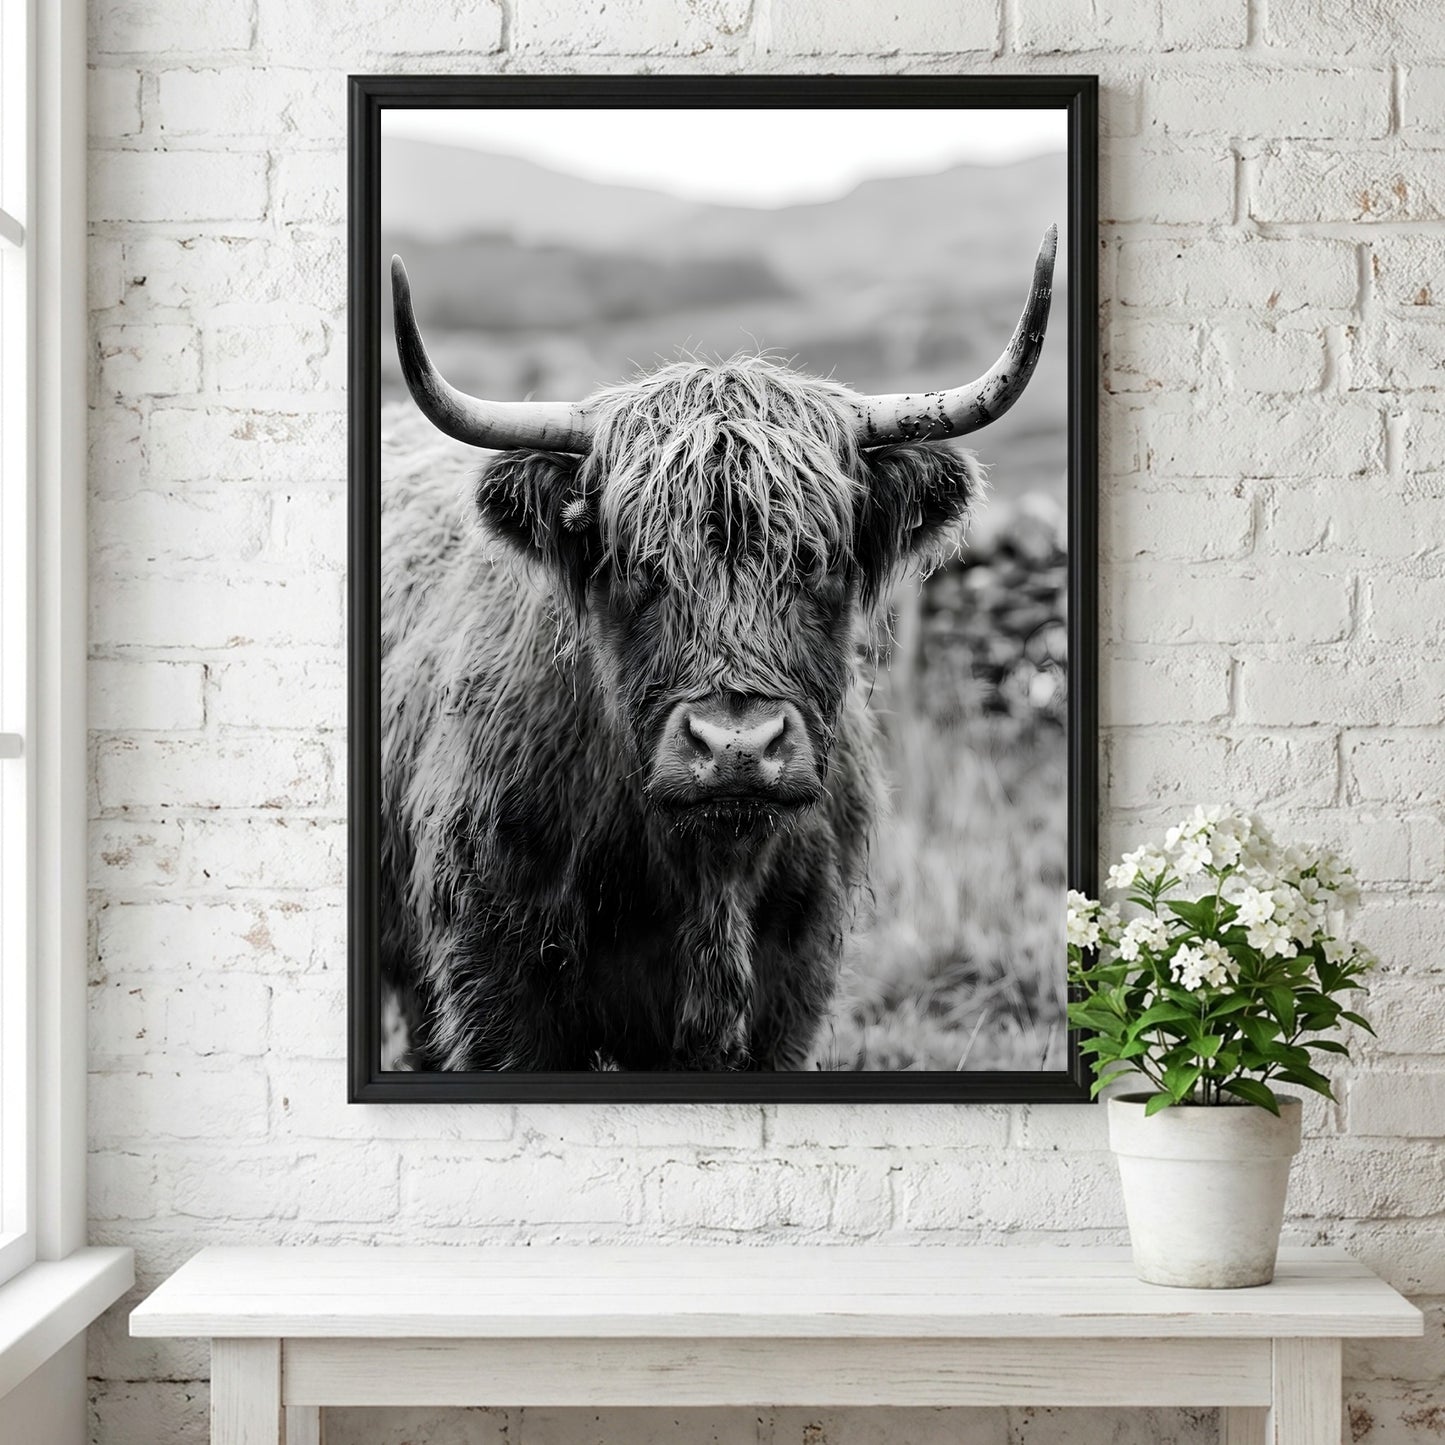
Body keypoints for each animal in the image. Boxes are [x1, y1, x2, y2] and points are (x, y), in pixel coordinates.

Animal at [379, 228, 1056, 1072]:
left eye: (816, 560)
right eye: (639, 566)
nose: (737, 746)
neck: (708, 873)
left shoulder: (790, 990)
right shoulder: (495, 986)